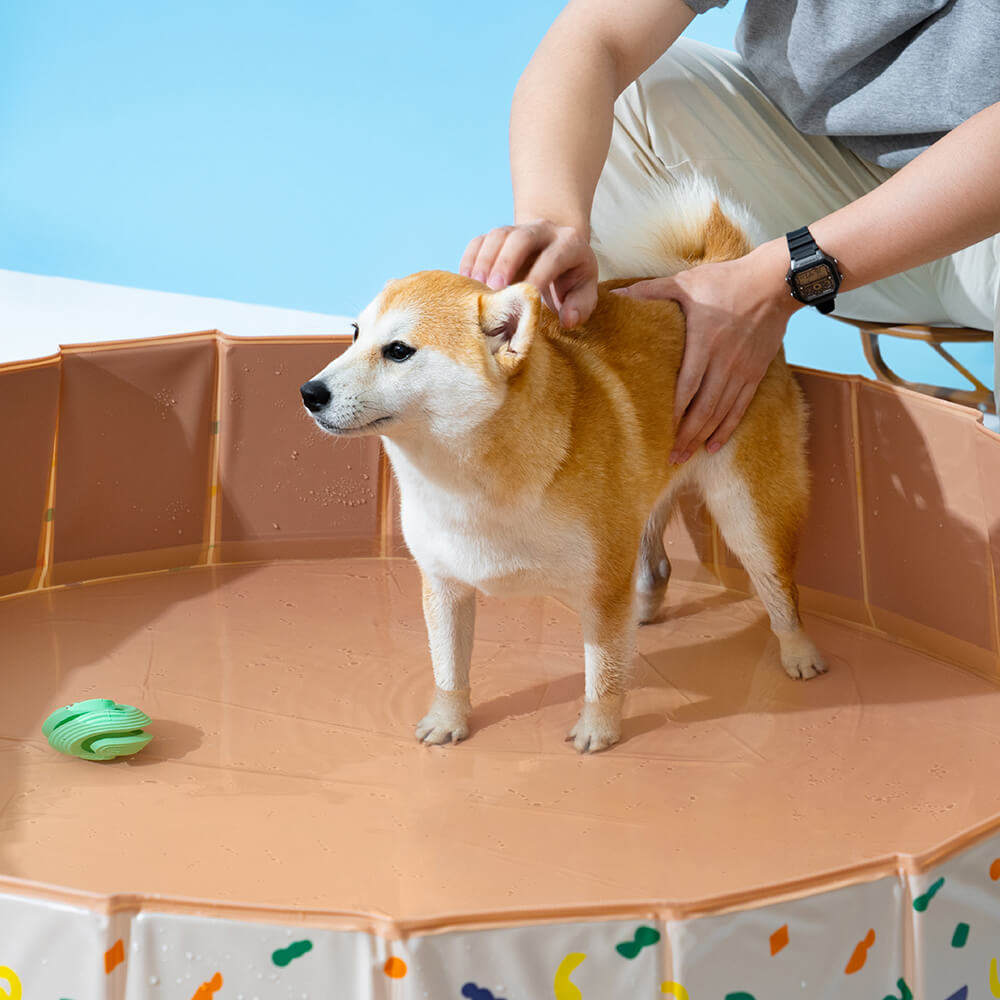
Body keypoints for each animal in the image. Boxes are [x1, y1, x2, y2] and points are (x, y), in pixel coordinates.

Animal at [300, 182, 824, 756]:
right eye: (353, 334)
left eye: (398, 351)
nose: (309, 392)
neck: (474, 485)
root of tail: (708, 274)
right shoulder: (445, 584)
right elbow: (449, 669)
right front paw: (448, 719)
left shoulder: (602, 585)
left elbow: (604, 674)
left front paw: (600, 729)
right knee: (656, 568)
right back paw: (645, 612)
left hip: (748, 515)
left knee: (780, 591)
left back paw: (800, 653)